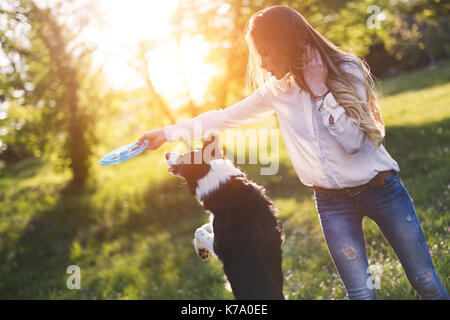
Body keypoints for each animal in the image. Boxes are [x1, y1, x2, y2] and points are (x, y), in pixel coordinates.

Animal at [165, 135, 284, 300]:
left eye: (186, 156)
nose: (166, 154)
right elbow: (205, 225)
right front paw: (200, 247)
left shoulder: (220, 247)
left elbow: (199, 231)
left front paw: (200, 250)